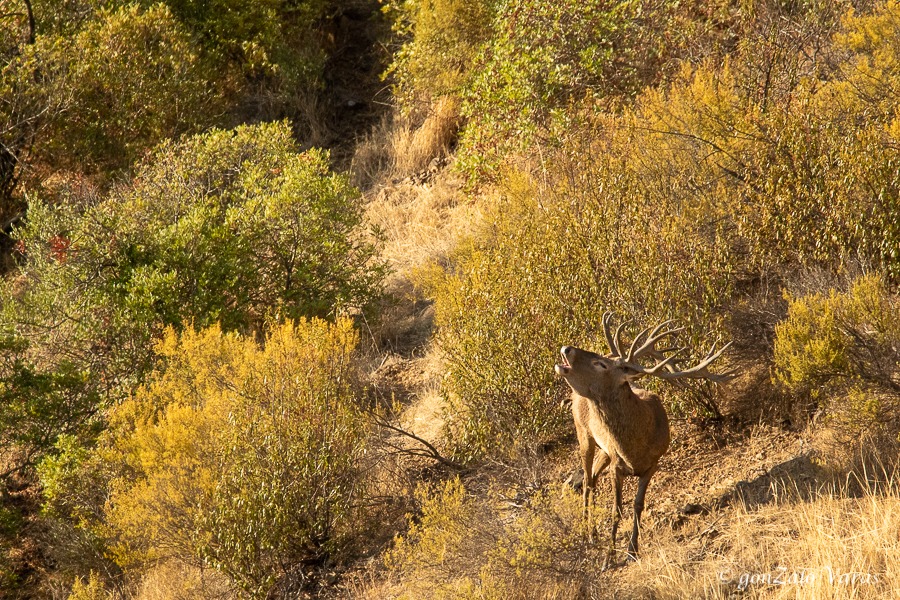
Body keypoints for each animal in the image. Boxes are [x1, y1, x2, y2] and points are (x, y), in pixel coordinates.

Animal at [554, 312, 735, 567]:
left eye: (601, 363)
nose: (566, 348)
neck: (634, 447)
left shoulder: (652, 464)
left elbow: (638, 505)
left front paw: (632, 550)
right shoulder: (617, 464)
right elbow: (617, 509)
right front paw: (609, 557)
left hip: (603, 450)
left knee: (592, 478)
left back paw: (593, 533)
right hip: (583, 433)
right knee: (588, 479)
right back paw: (586, 532)